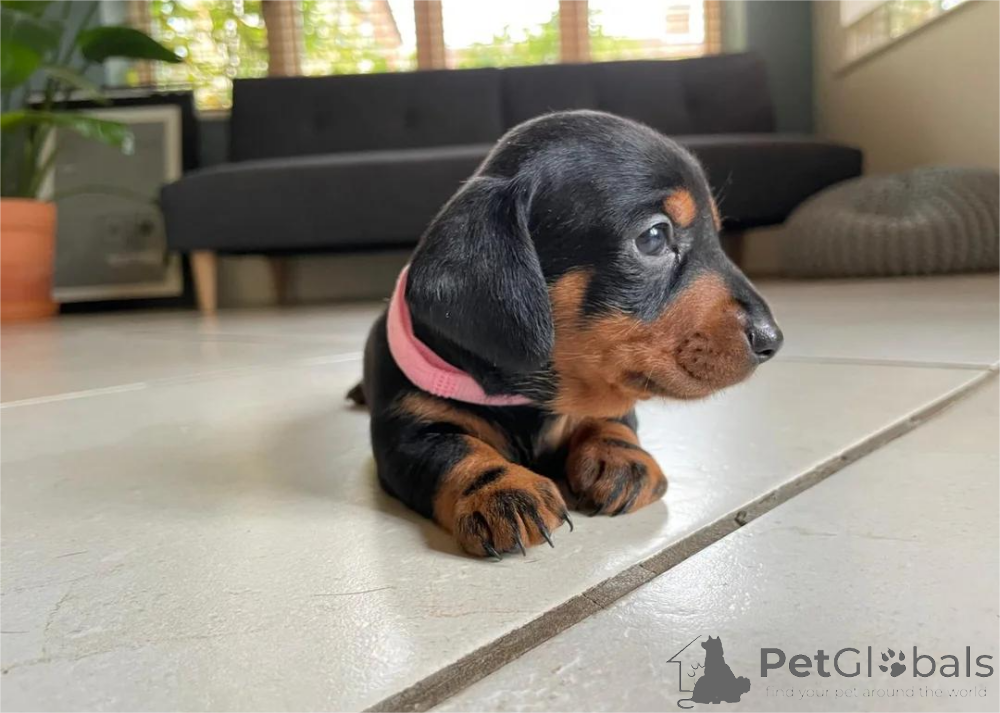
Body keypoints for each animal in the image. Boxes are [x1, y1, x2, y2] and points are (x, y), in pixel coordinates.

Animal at [350, 110, 782, 559]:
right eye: (653, 237)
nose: (773, 340)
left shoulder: (610, 386)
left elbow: (612, 416)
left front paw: (622, 456)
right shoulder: (407, 431)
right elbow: (456, 449)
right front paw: (502, 489)